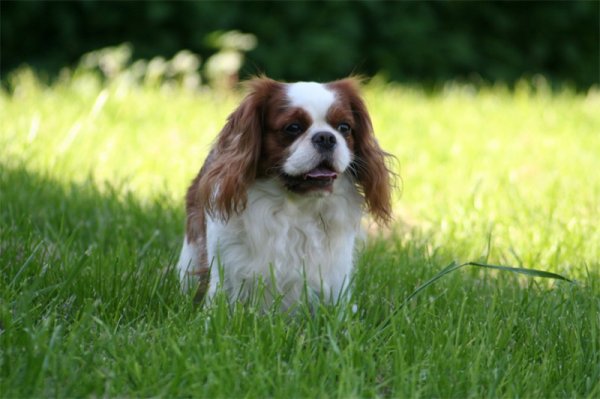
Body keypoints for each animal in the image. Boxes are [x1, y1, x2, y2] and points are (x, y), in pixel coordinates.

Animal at [177, 76, 394, 310]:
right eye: (293, 127)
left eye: (344, 127)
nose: (326, 137)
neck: (296, 206)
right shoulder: (225, 263)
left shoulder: (335, 271)